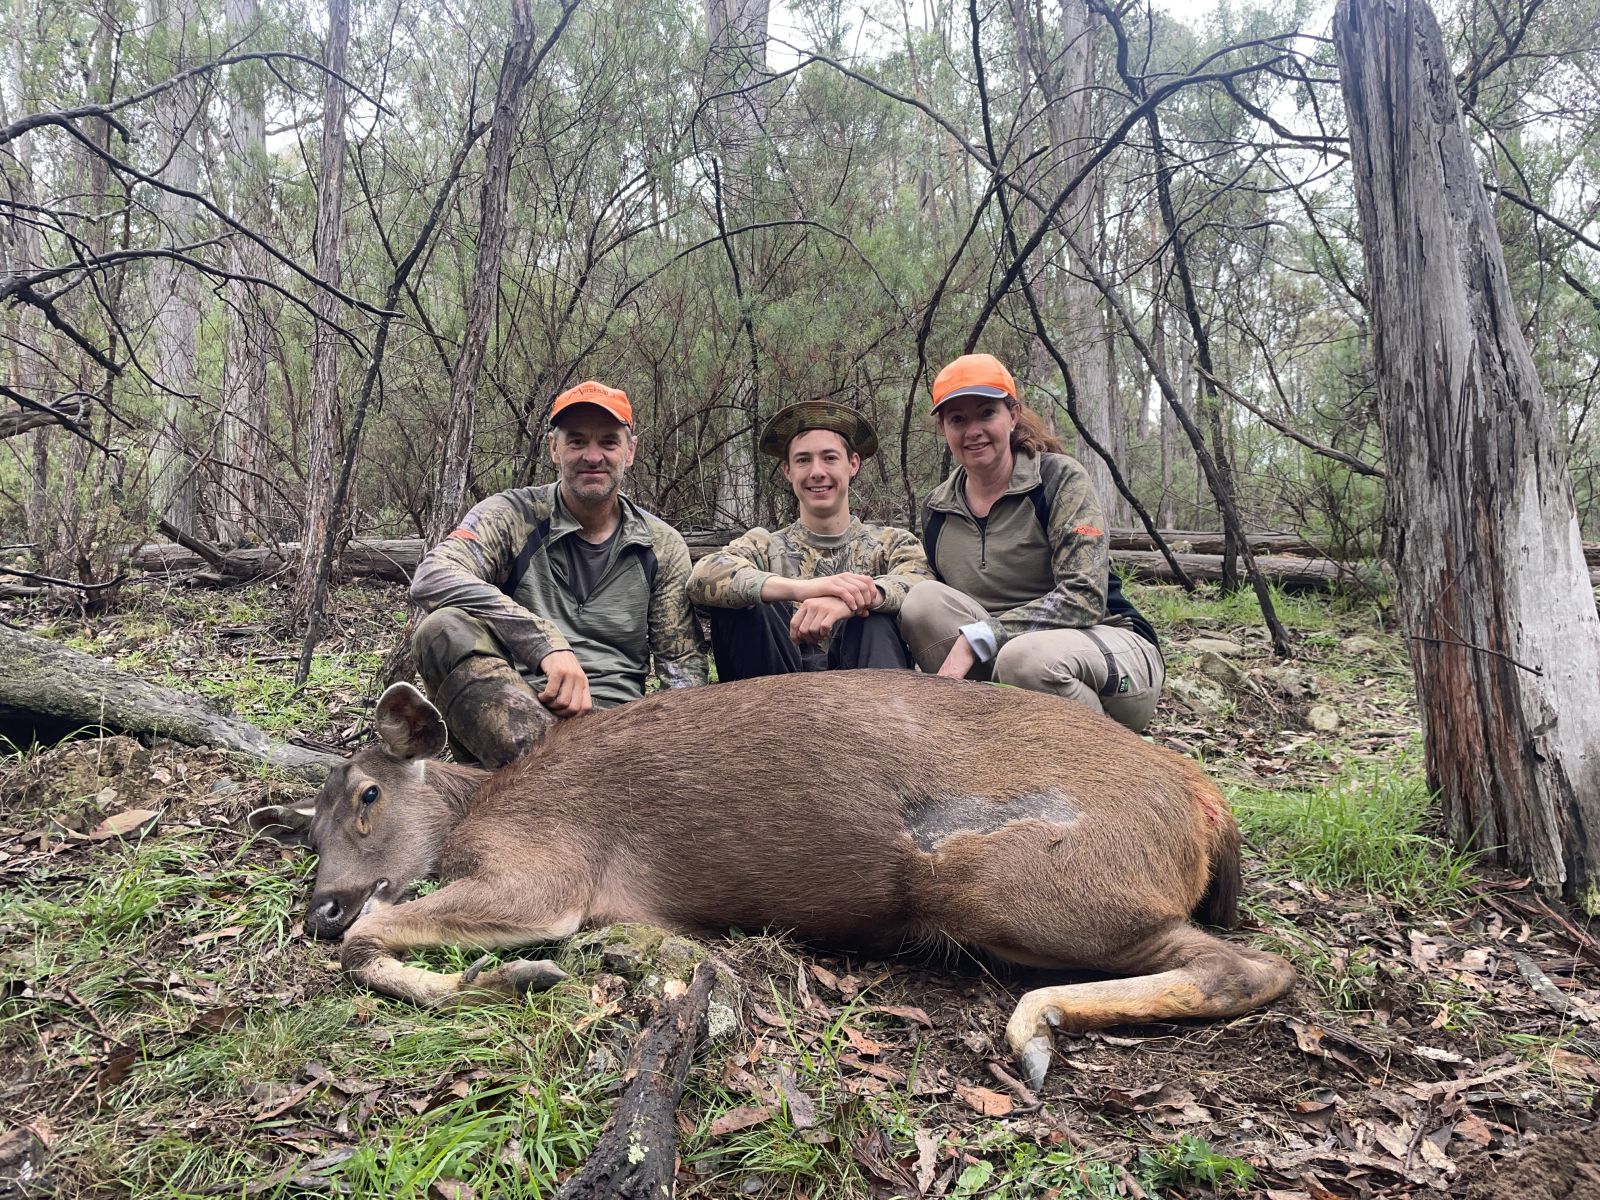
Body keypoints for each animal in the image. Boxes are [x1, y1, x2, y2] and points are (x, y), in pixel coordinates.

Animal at [249, 670, 1295, 1087]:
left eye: (369, 795)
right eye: (307, 832)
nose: (318, 906)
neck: (479, 804)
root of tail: (1208, 802)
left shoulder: (541, 871)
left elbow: (380, 937)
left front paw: (509, 976)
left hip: (1009, 873)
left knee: (1256, 966)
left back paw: (1035, 1027)